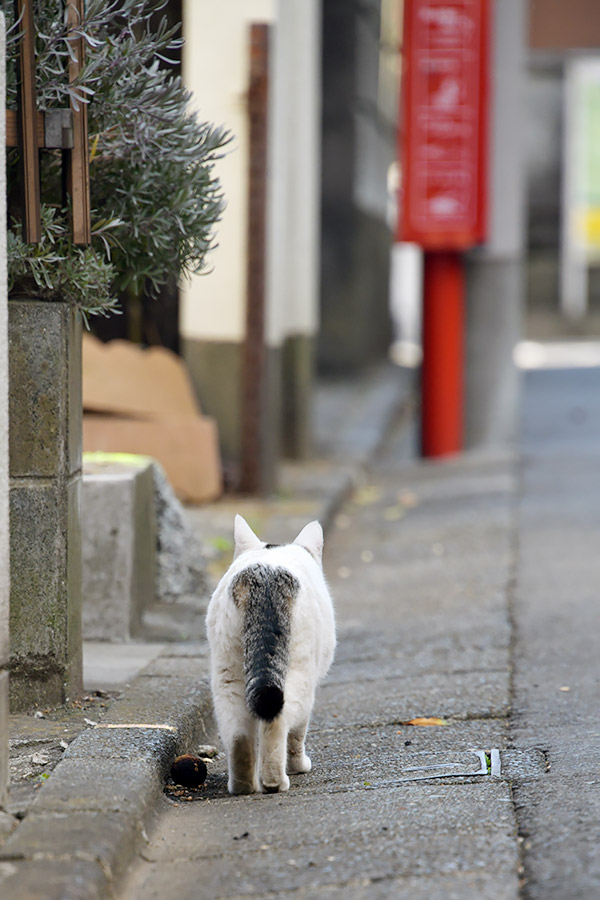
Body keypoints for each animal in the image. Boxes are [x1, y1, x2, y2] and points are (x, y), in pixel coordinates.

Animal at [206, 516, 336, 792]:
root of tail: (264, 577)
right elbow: (297, 735)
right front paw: (299, 766)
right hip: (298, 677)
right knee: (280, 721)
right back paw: (276, 781)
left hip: (227, 674)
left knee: (238, 733)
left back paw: (243, 785)